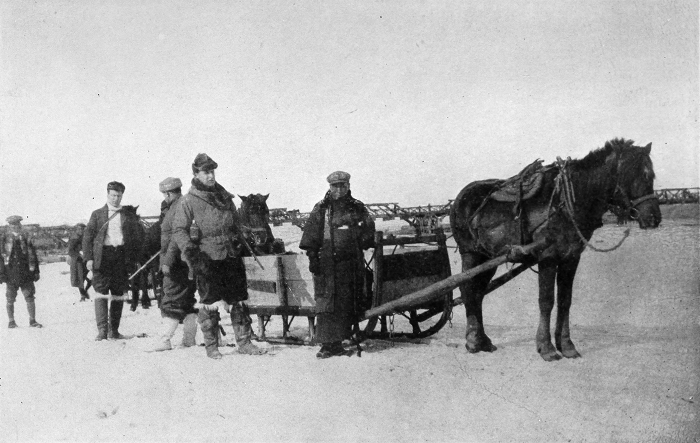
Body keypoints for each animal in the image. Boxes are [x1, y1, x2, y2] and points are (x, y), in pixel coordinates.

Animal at [450, 138, 661, 361]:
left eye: (651, 176)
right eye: (635, 174)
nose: (654, 218)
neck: (567, 203)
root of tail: (459, 199)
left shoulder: (571, 258)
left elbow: (565, 301)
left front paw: (566, 345)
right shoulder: (548, 257)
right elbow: (546, 301)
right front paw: (546, 347)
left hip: (488, 257)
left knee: (478, 292)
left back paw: (482, 340)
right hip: (471, 254)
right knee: (468, 290)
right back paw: (473, 341)